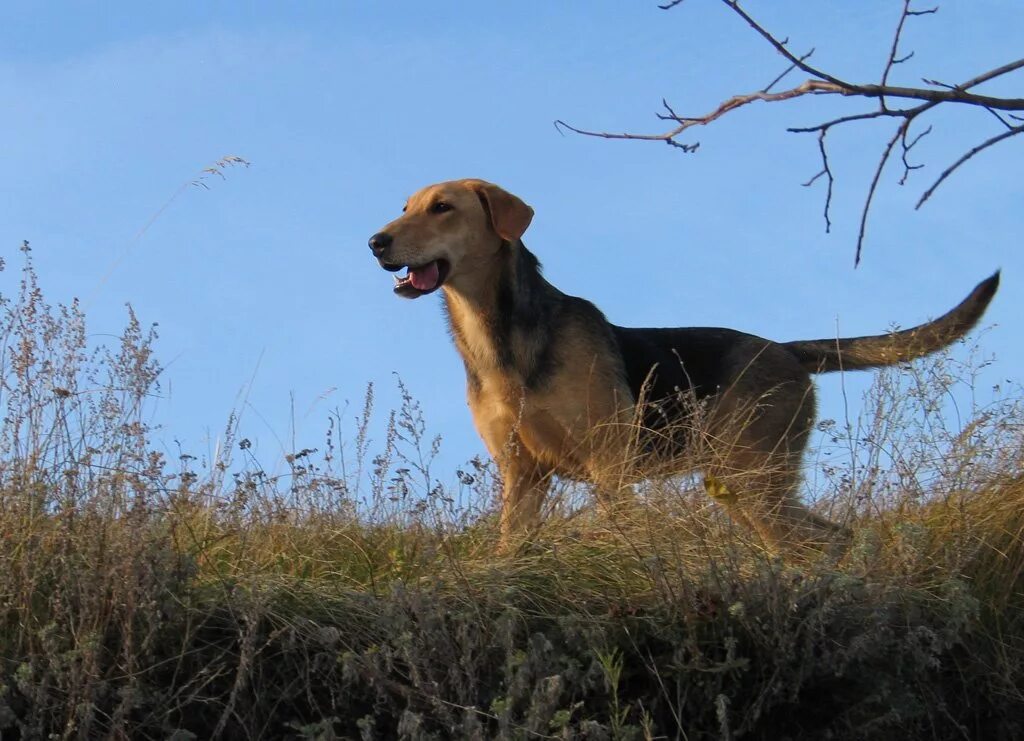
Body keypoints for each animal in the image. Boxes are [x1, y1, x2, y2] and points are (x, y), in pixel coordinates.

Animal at [370, 178, 999, 548]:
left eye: (442, 209)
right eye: (404, 208)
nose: (375, 242)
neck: (499, 338)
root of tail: (786, 349)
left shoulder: (608, 466)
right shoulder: (521, 475)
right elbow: (510, 551)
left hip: (755, 484)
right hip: (744, 488)